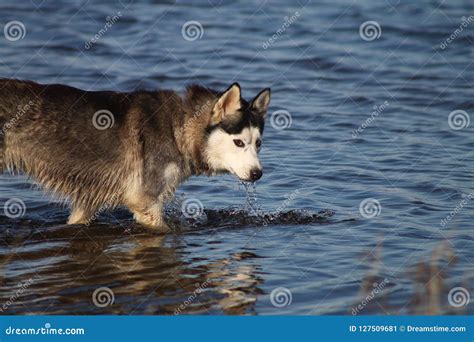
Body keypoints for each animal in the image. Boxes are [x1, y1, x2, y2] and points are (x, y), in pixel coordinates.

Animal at [0, 79, 270, 230]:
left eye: (258, 143)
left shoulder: (87, 204)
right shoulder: (145, 203)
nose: (257, 174)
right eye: (238, 142)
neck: (177, 129)